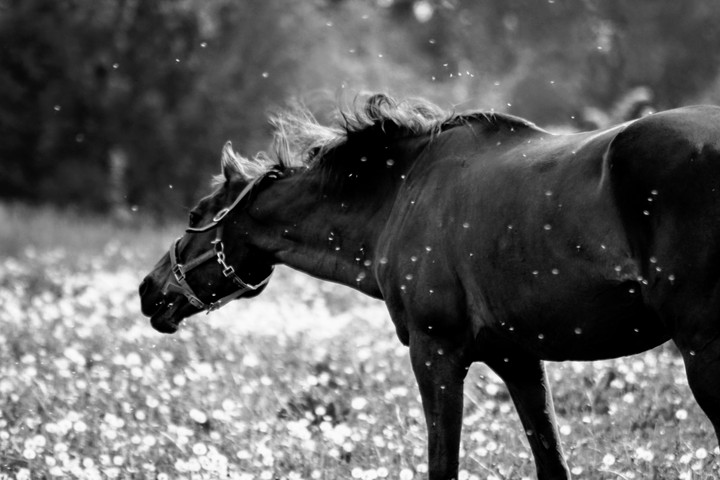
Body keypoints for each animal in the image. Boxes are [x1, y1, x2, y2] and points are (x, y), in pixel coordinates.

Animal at [139, 93, 720, 479]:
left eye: (195, 214)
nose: (148, 291)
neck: (401, 192)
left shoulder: (435, 352)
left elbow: (443, 466)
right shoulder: (517, 359)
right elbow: (551, 462)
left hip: (702, 351)